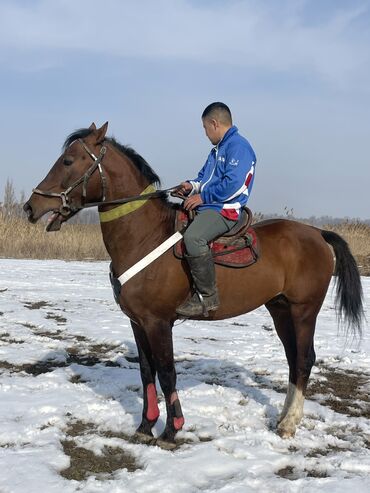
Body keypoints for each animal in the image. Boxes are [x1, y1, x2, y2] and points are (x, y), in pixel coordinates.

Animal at [23, 124, 364, 450]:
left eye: (68, 161)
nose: (30, 206)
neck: (145, 235)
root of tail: (317, 233)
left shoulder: (159, 323)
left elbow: (166, 372)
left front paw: (171, 430)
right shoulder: (138, 322)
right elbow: (146, 372)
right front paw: (145, 426)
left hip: (304, 310)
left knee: (304, 360)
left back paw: (289, 424)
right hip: (280, 309)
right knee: (294, 360)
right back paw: (282, 418)